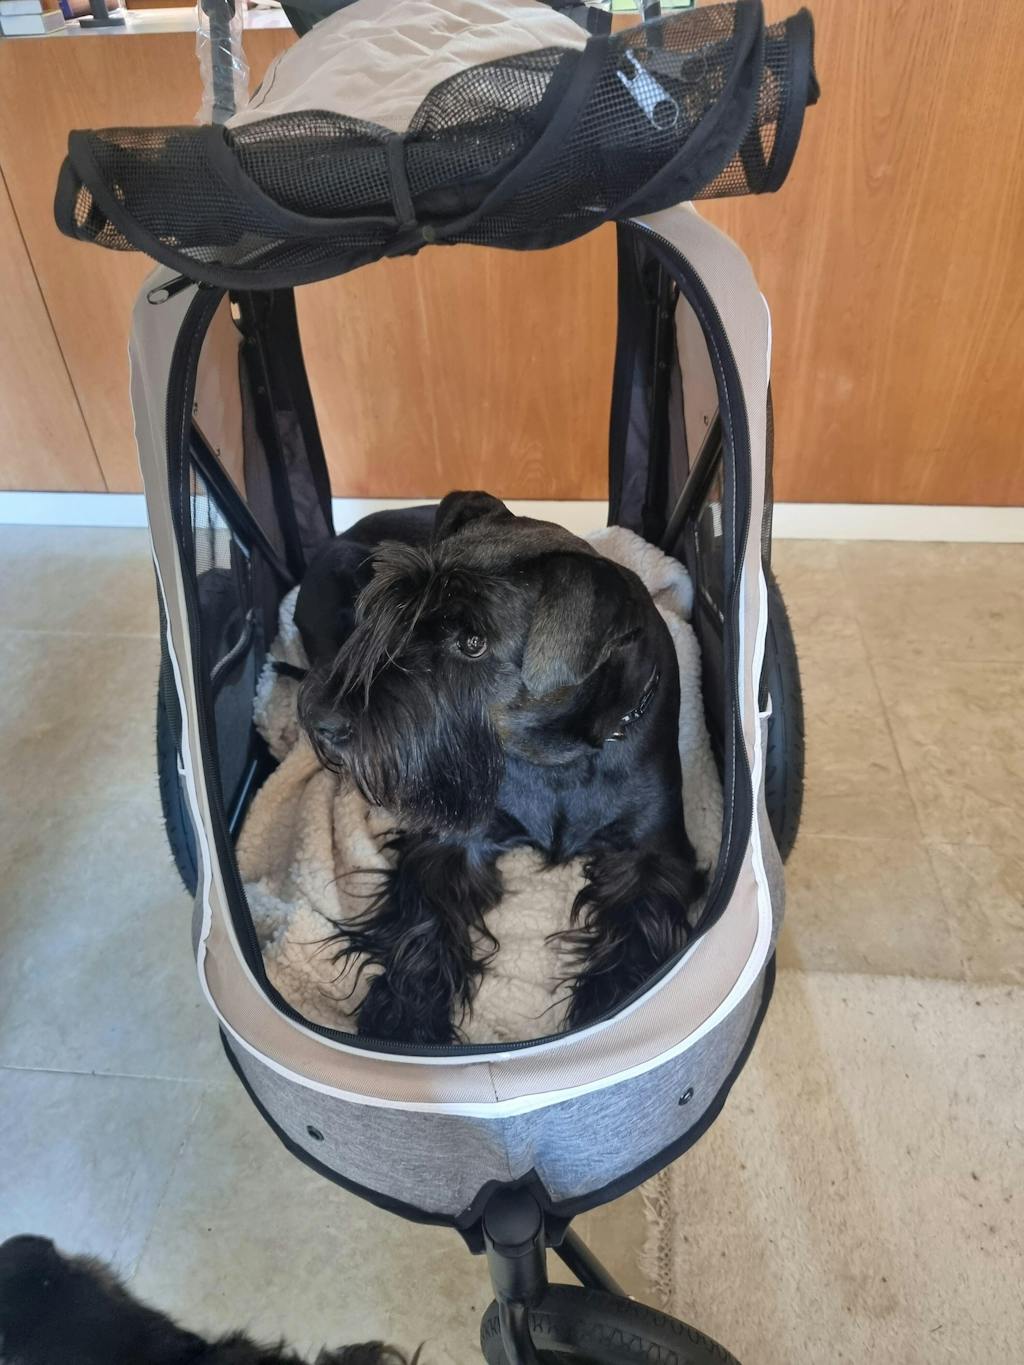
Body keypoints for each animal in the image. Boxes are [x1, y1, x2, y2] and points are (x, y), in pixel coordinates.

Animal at [295, 492, 704, 1045]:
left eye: (473, 643)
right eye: (391, 610)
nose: (322, 719)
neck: (556, 760)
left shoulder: (652, 854)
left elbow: (635, 936)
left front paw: (612, 1008)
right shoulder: (456, 841)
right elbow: (423, 927)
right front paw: (405, 1017)